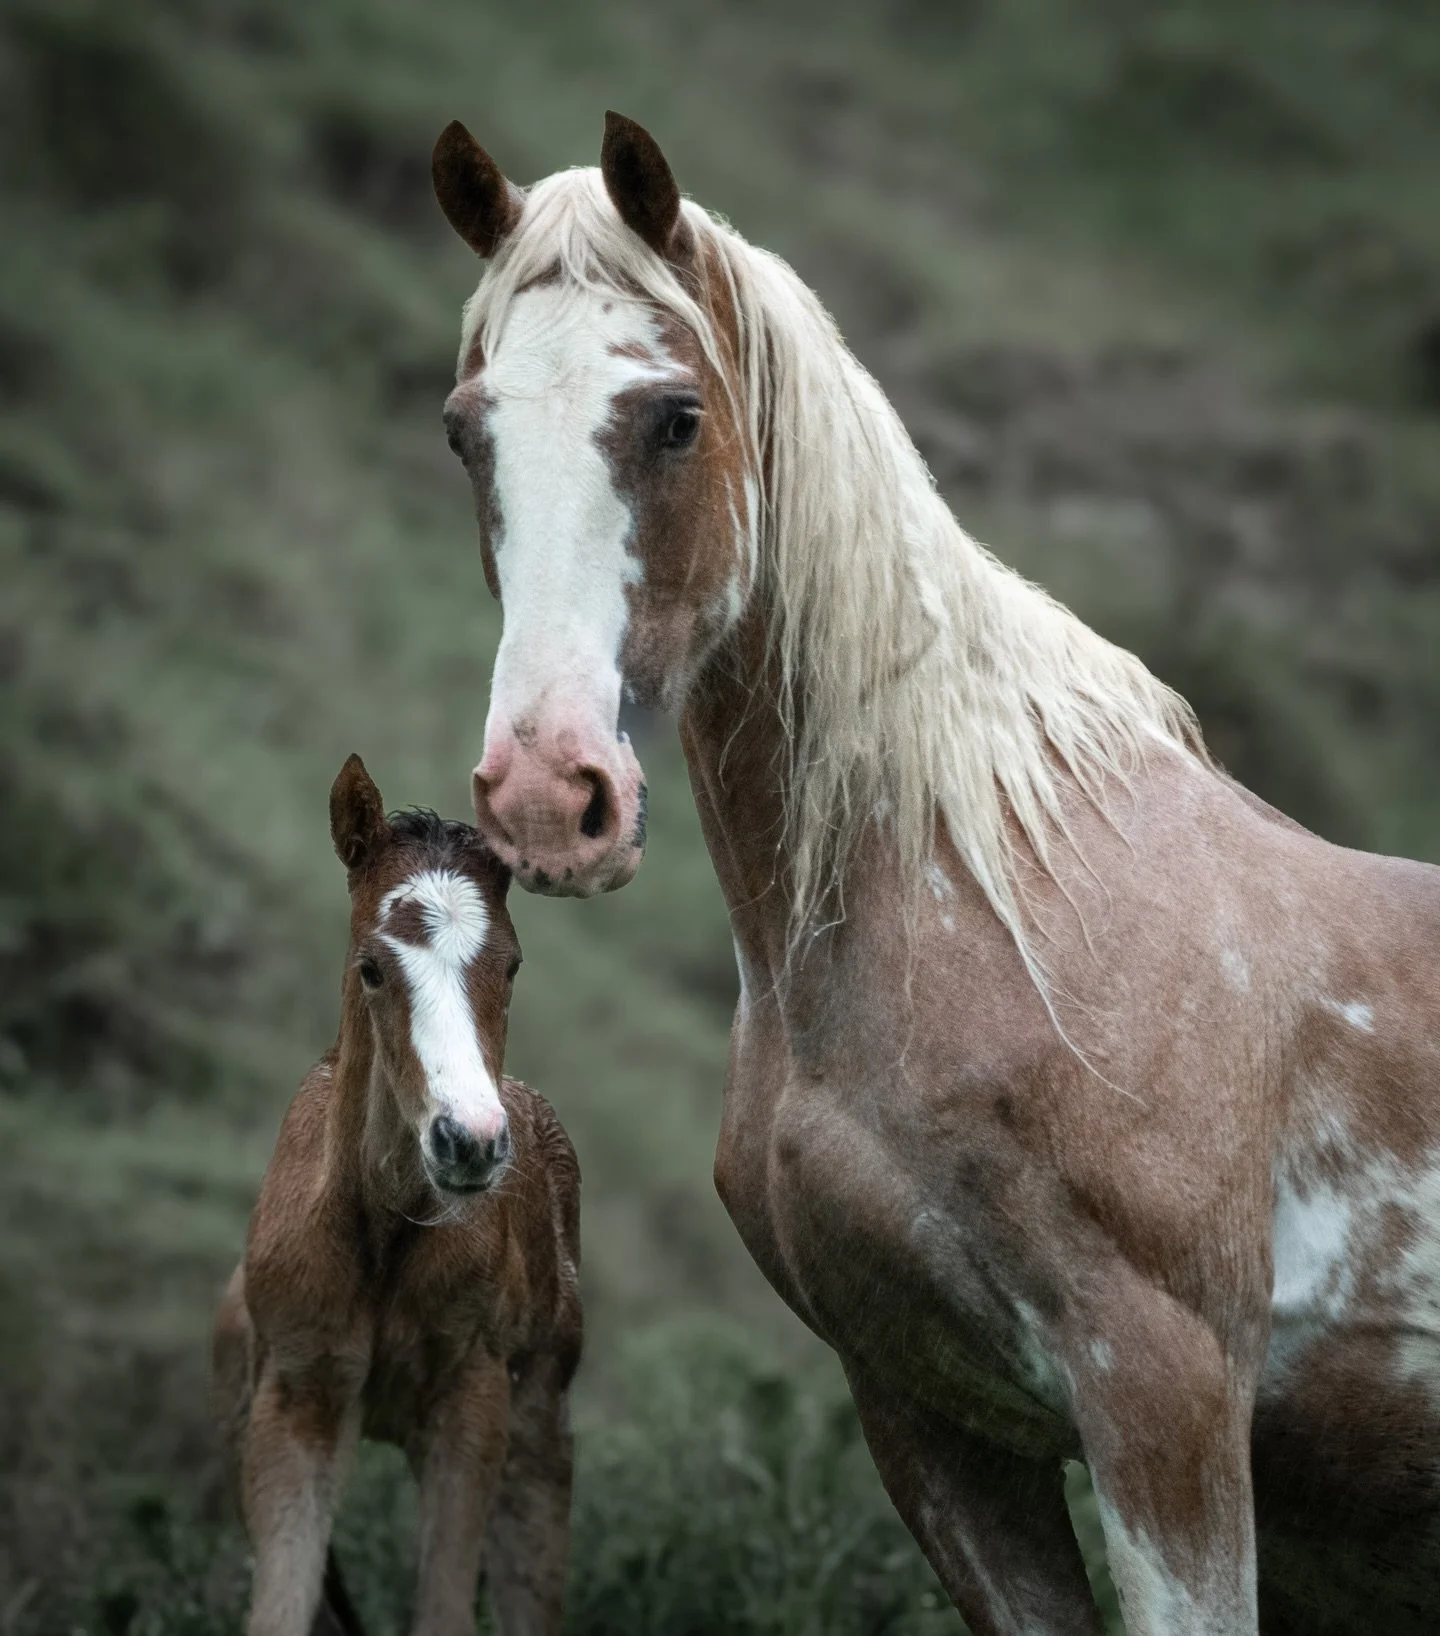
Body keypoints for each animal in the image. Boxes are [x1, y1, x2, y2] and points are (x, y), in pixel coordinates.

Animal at [212, 754, 582, 1636]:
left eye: (512, 964)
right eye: (372, 967)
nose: (470, 1140)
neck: (382, 1235)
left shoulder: (473, 1402)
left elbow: (445, 1609)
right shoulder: (294, 1401)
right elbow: (280, 1608)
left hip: (542, 1431)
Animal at [429, 112, 1440, 1634]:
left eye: (675, 417)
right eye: (466, 430)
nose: (550, 794)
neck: (989, 909)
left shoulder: (1167, 1407)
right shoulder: (931, 1421)